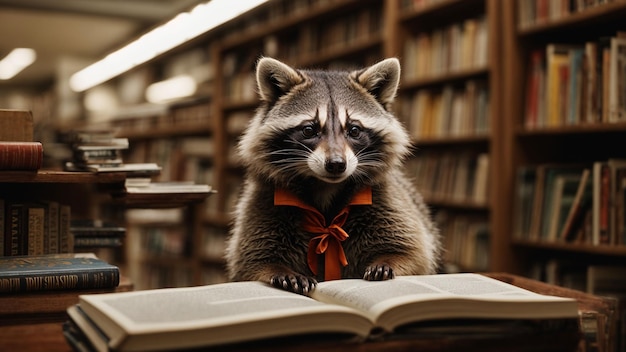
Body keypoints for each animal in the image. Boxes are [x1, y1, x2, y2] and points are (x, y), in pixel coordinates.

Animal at [224, 57, 438, 294]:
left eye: (354, 130)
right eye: (309, 130)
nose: (336, 164)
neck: (325, 187)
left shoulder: (385, 199)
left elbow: (413, 254)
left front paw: (388, 260)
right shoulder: (265, 202)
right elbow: (252, 263)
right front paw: (279, 270)